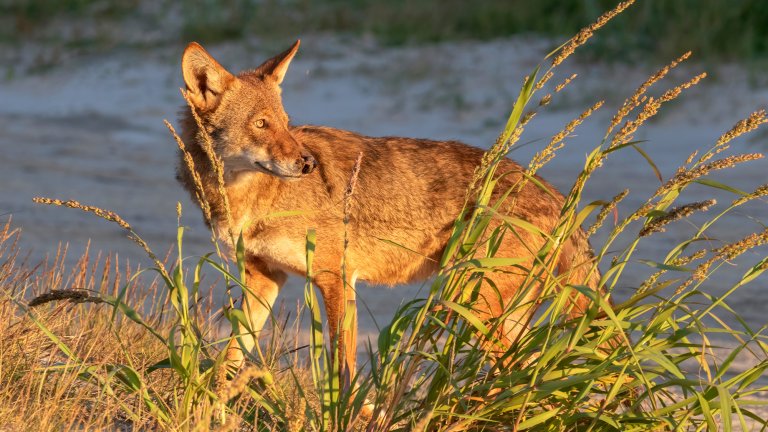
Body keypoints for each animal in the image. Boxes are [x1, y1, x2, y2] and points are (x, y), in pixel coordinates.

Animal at [177, 40, 602, 381]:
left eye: (284, 124)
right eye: (262, 125)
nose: (308, 163)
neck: (252, 198)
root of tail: (558, 196)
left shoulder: (337, 279)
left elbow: (344, 369)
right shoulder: (264, 279)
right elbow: (231, 357)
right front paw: (211, 406)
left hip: (474, 308)